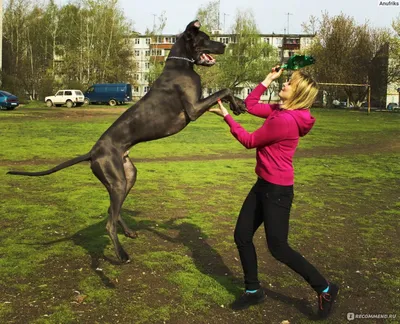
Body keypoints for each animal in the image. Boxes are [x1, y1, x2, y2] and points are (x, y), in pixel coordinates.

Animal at [7, 20, 247, 264]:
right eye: (206, 38)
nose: (225, 46)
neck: (180, 66)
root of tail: (92, 152)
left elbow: (225, 93)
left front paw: (239, 104)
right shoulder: (194, 108)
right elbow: (223, 89)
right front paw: (237, 102)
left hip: (126, 177)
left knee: (112, 211)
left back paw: (129, 232)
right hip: (118, 180)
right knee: (109, 222)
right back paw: (121, 254)